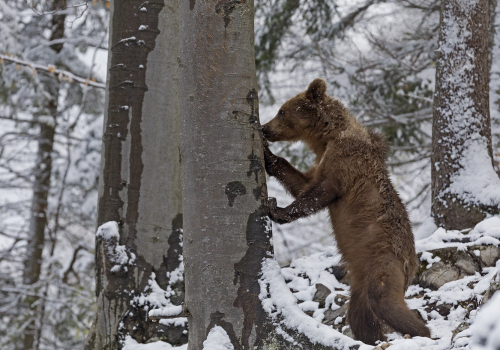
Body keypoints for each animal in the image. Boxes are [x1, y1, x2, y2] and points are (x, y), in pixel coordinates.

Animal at [262, 78, 430, 344]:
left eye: (281, 111)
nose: (264, 128)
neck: (328, 137)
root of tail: (411, 264)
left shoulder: (345, 161)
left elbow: (318, 193)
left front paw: (275, 208)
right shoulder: (320, 162)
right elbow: (301, 181)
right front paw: (268, 155)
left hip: (383, 263)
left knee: (384, 302)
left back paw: (421, 334)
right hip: (361, 280)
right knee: (360, 314)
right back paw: (371, 338)